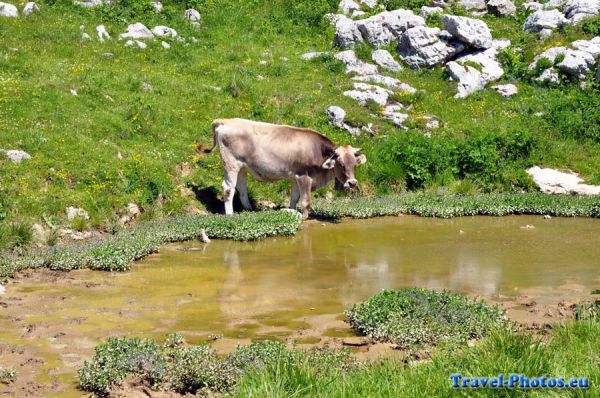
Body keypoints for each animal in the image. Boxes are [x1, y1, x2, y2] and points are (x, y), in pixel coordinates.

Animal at [202, 118, 368, 218]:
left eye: (354, 164)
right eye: (340, 164)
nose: (352, 183)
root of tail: (225, 121)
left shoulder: (295, 177)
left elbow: (294, 197)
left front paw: (291, 211)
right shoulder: (305, 176)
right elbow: (306, 201)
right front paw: (304, 217)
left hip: (242, 167)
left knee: (241, 188)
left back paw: (249, 209)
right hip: (231, 164)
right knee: (228, 188)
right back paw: (230, 214)